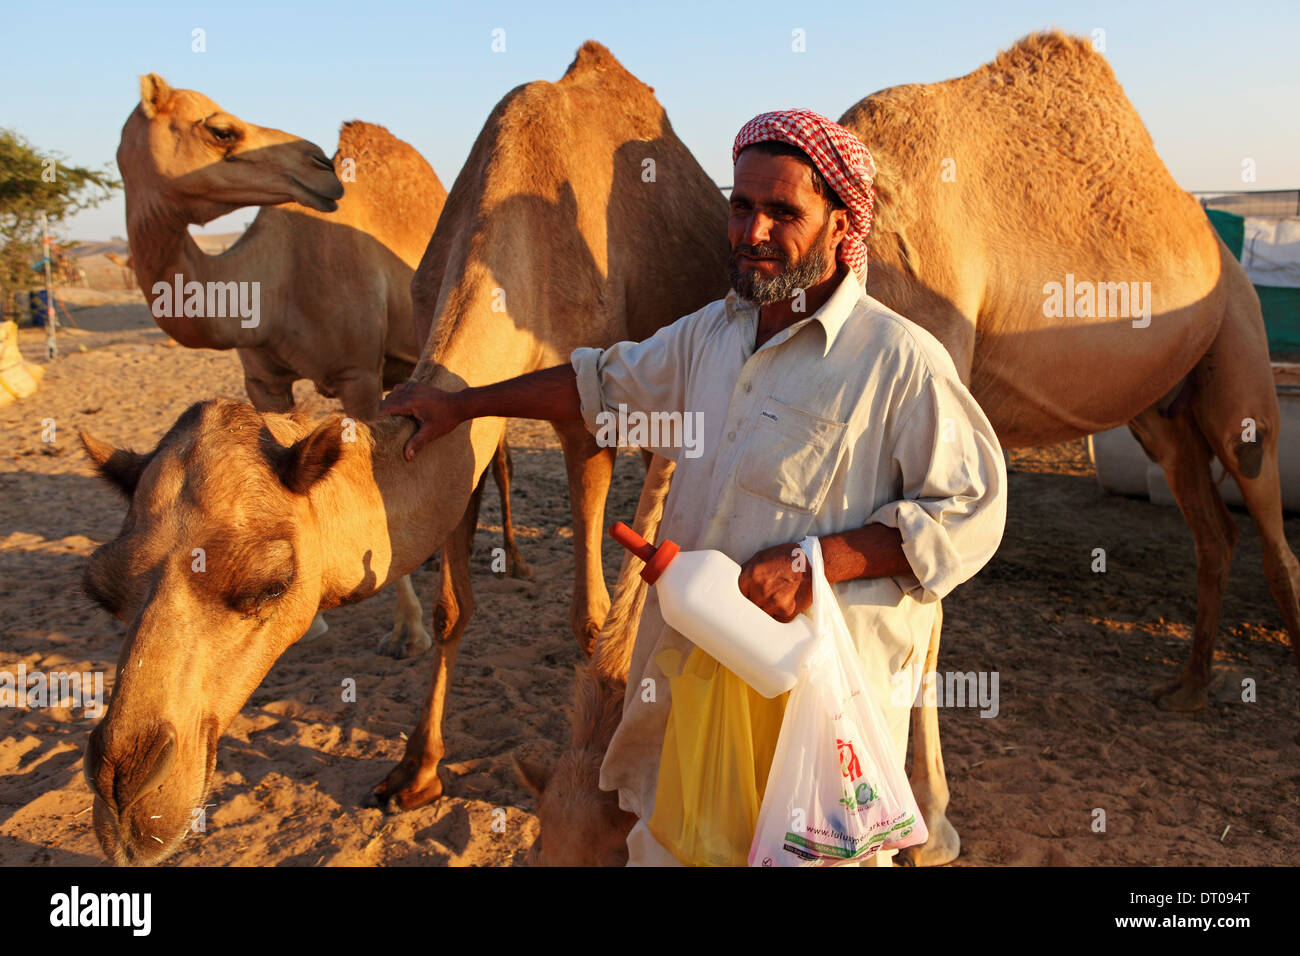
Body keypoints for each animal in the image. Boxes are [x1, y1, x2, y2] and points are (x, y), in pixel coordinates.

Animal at [115, 76, 527, 650]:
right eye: (220, 130)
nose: (319, 165)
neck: (274, 280)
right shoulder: (262, 379)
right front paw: (311, 622)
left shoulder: (358, 376)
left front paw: (408, 630)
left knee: (499, 456)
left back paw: (512, 560)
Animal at [520, 29, 1300, 868]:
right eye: (543, 848)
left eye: (608, 852)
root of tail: (1215, 242)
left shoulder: (938, 405)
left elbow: (925, 607)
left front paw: (930, 820)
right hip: (1161, 410)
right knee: (1212, 526)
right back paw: (1187, 688)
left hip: (1238, 340)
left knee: (1261, 493)